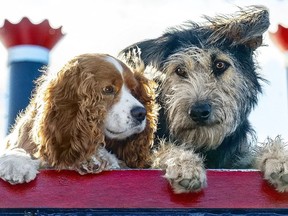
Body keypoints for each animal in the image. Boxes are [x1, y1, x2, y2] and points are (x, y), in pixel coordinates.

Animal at [121, 5, 288, 193]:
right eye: (179, 70)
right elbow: (162, 149)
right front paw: (184, 163)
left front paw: (278, 158)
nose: (199, 111)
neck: (203, 144)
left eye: (220, 65)